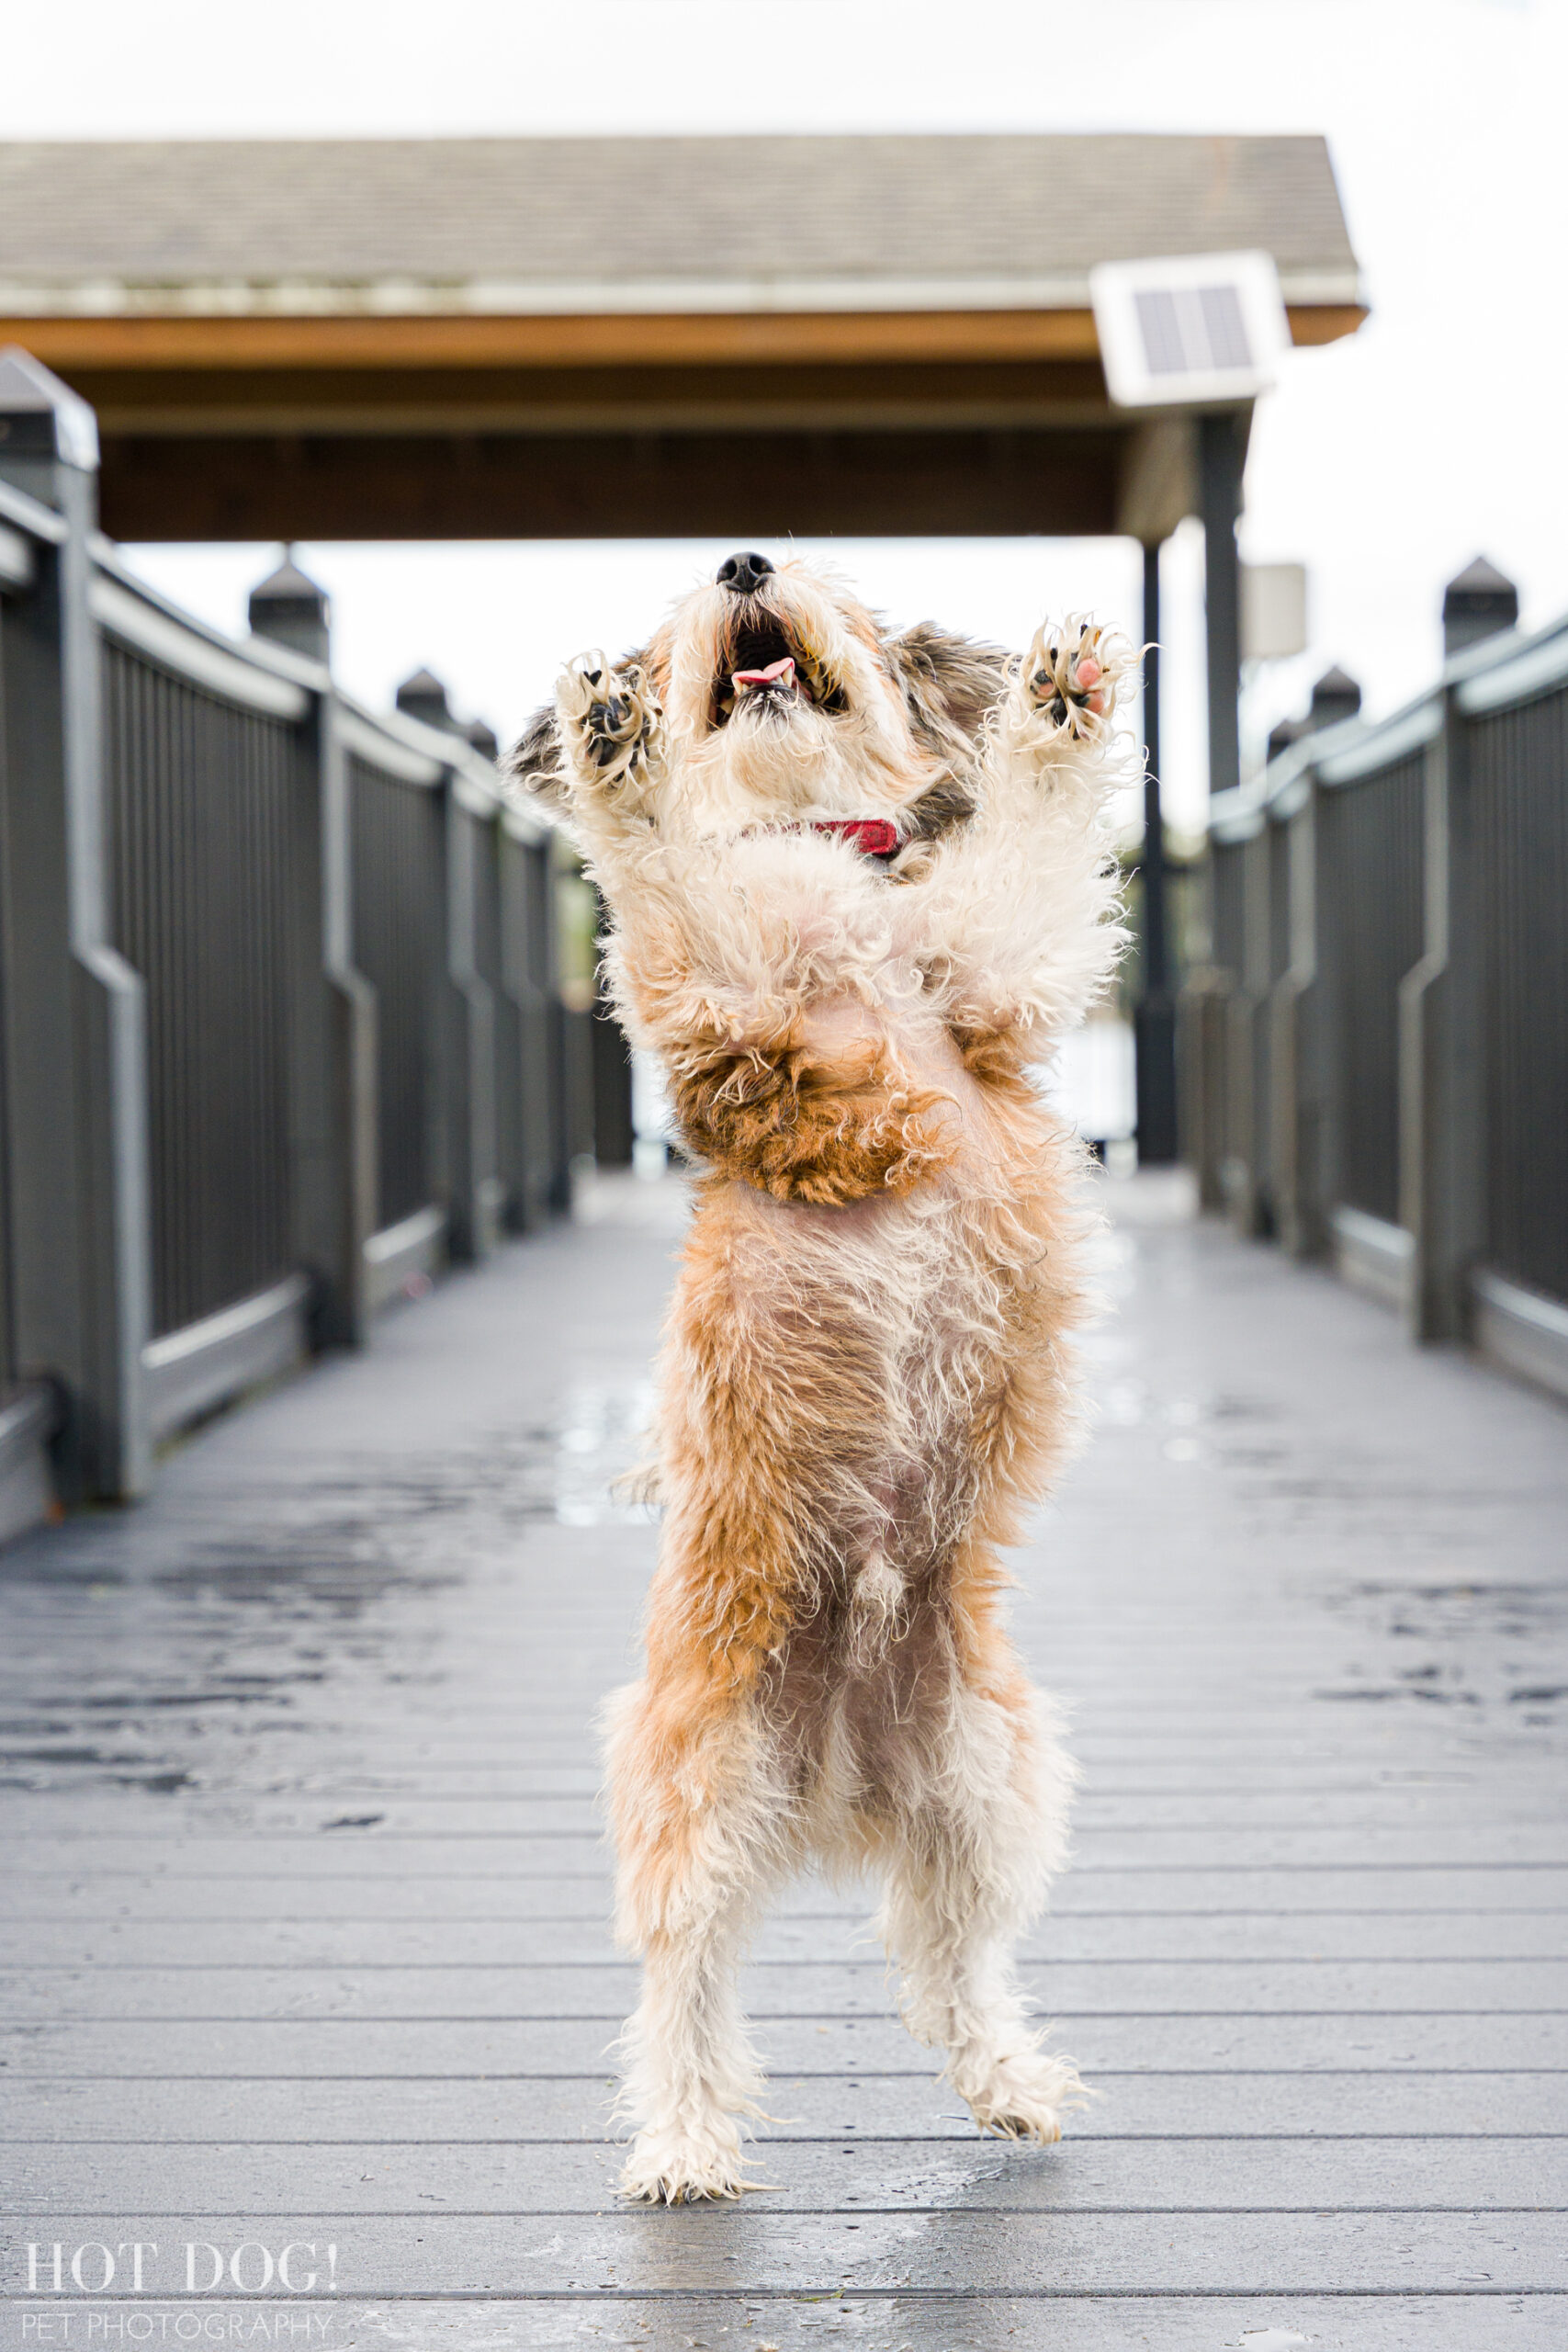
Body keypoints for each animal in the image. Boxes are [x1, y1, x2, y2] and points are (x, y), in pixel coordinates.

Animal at [517, 550, 1142, 2201]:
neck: (814, 845)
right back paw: (681, 2143)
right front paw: (613, 747)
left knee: (946, 1962)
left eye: (819, 574)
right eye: (674, 615)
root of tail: (839, 1776)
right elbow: (662, 869)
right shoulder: (722, 1006)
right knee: (686, 1982)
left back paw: (1007, 2084)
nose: (741, 563)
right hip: (697, 1780)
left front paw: (1062, 697)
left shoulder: (988, 978)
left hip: (986, 1781)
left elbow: (1034, 833)